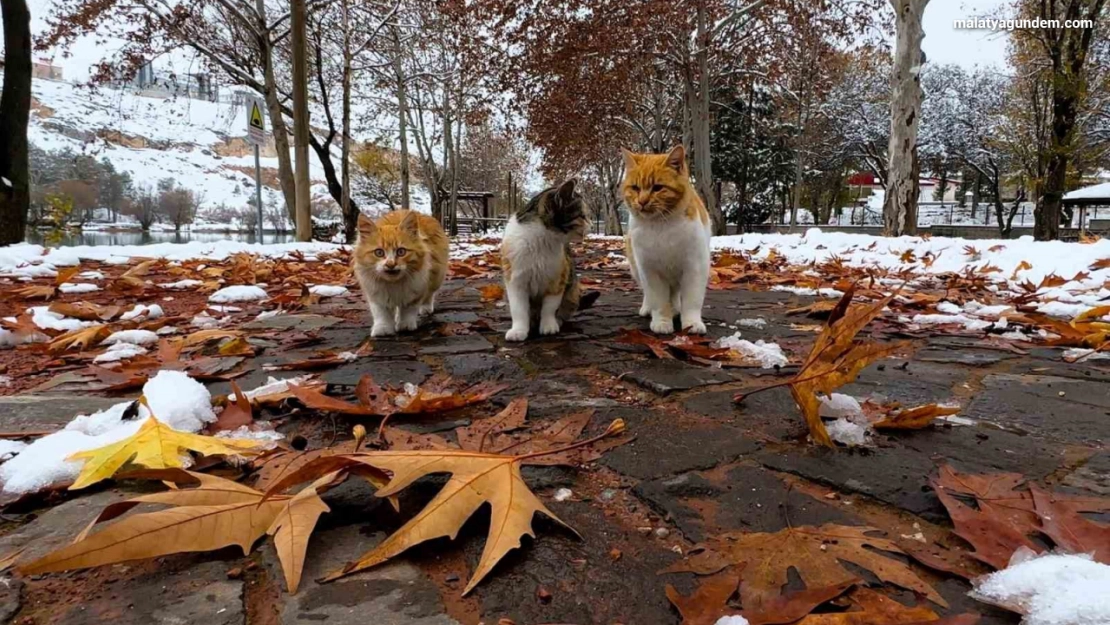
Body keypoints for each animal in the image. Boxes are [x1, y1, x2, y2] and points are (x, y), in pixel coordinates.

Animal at [350, 209, 446, 337]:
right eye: (379, 252)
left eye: (401, 252)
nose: (391, 264)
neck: (393, 284)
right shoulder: (376, 294)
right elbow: (382, 314)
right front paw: (383, 329)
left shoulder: (416, 289)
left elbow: (408, 310)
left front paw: (405, 326)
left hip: (436, 277)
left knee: (429, 295)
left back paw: (426, 308)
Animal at [503, 178, 590, 341]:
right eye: (582, 216)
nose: (591, 224)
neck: (542, 239)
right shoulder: (515, 280)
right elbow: (518, 308)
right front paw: (518, 330)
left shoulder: (558, 279)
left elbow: (550, 307)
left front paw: (549, 325)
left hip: (573, 291)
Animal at [626, 145, 710, 335]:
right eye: (635, 187)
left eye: (657, 187)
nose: (642, 201)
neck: (661, 227)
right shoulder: (650, 270)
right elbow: (658, 301)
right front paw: (662, 322)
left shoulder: (695, 268)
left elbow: (692, 301)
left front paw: (692, 323)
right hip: (636, 268)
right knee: (649, 294)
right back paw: (648, 308)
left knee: (675, 292)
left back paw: (676, 308)